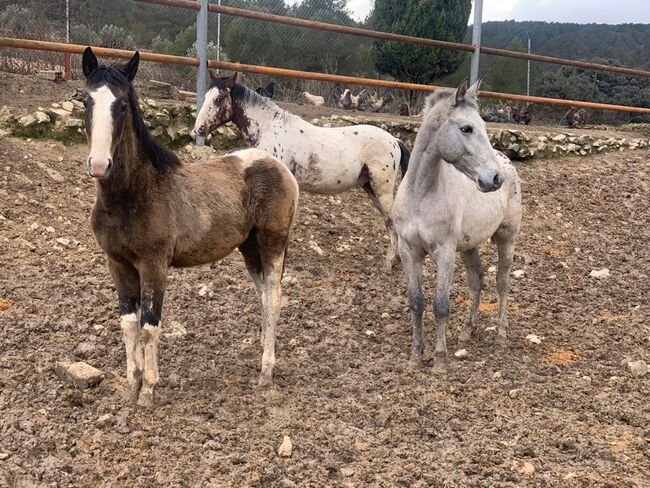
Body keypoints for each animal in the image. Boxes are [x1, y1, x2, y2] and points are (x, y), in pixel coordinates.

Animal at [79, 47, 298, 406]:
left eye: (122, 105)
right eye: (86, 101)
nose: (99, 164)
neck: (132, 194)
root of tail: (280, 168)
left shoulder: (154, 264)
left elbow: (150, 326)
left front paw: (148, 390)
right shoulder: (118, 263)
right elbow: (129, 325)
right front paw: (132, 384)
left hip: (272, 243)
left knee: (274, 299)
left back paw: (266, 373)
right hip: (249, 248)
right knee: (264, 297)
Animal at [390, 79, 520, 374]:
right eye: (467, 128)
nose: (494, 178)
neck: (421, 195)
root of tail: (507, 163)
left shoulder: (445, 253)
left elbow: (440, 305)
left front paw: (439, 360)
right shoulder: (408, 251)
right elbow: (416, 302)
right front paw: (416, 356)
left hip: (506, 238)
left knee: (502, 282)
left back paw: (501, 334)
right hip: (469, 247)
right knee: (477, 280)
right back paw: (467, 331)